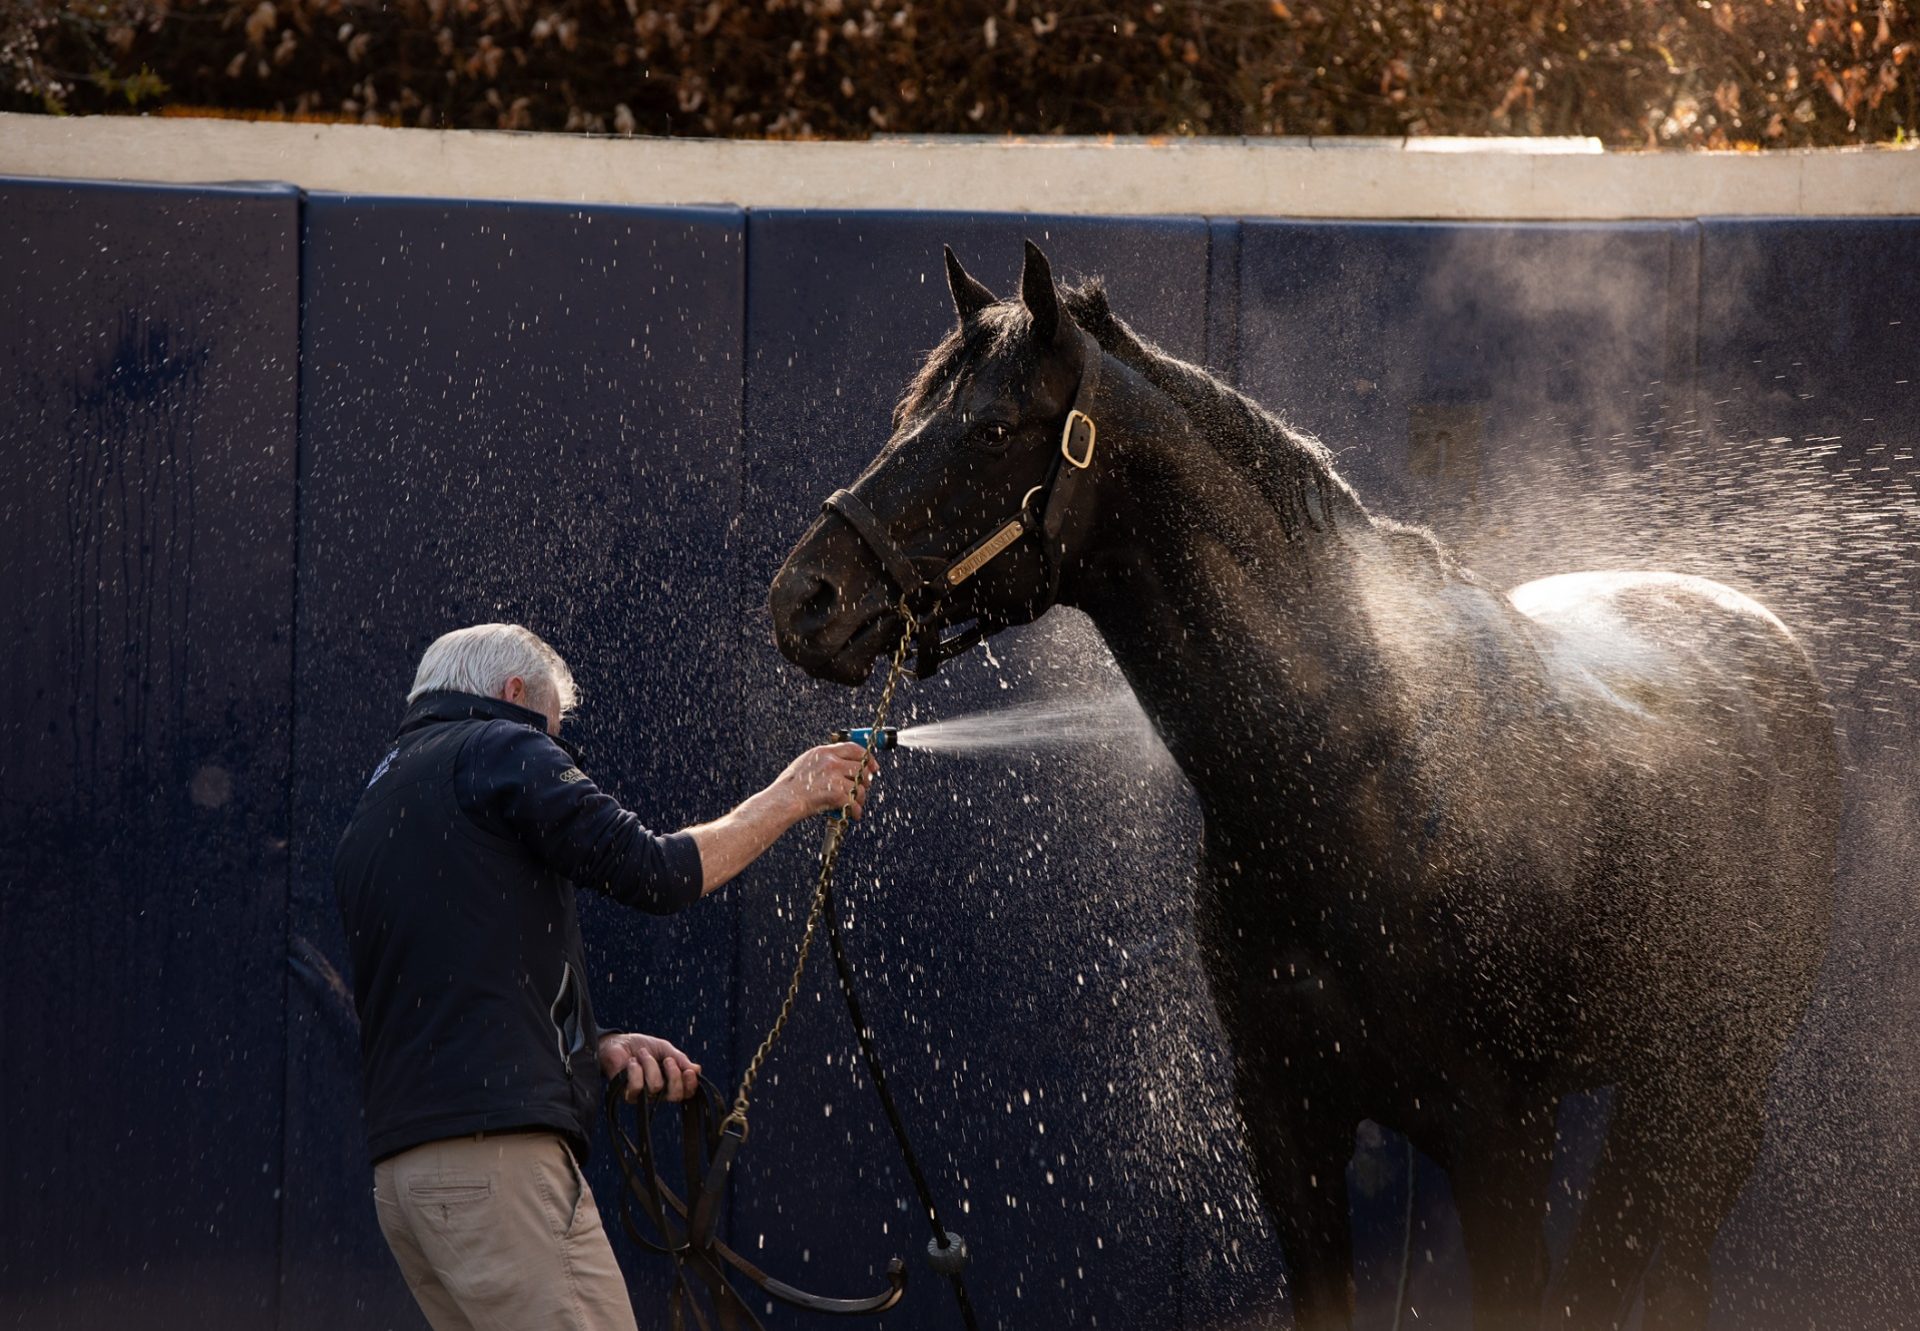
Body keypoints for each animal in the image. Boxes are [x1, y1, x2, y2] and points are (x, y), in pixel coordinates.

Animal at [764, 241, 1843, 1329]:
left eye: (991, 429)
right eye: (905, 419)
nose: (803, 598)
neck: (1363, 778)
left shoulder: (1502, 1140)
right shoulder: (1289, 1127)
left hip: (1710, 1080)